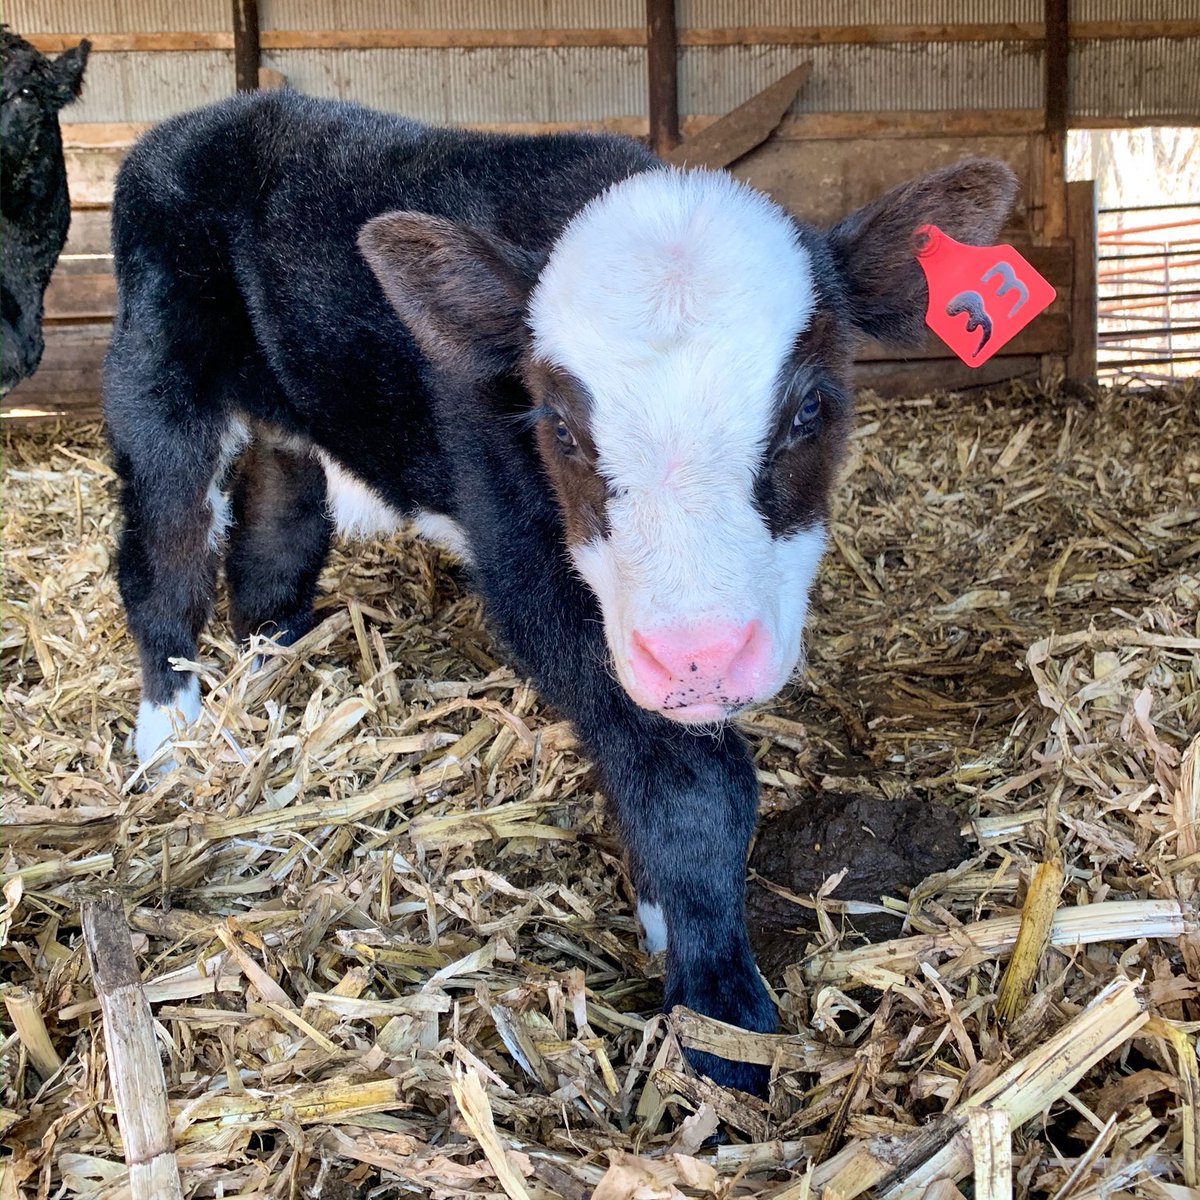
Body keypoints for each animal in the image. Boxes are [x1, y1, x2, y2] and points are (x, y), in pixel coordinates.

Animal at [104, 89, 1016, 1094]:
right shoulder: (528, 569)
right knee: (162, 560)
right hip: (159, 388)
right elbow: (692, 783)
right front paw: (719, 1014)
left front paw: (666, 918)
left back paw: (272, 667)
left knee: (275, 537)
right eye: (563, 430)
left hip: (289, 417)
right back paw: (168, 741)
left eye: (811, 406)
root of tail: (212, 116)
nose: (700, 654)